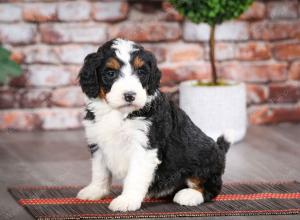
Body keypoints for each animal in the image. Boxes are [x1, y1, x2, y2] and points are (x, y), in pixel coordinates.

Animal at [76, 37, 231, 211]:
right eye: (110, 73)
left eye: (141, 72)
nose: (130, 95)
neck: (119, 113)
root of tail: (220, 150)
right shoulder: (97, 141)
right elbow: (100, 172)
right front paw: (95, 191)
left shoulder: (145, 146)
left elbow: (134, 177)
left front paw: (127, 200)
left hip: (202, 159)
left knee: (210, 187)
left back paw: (189, 195)